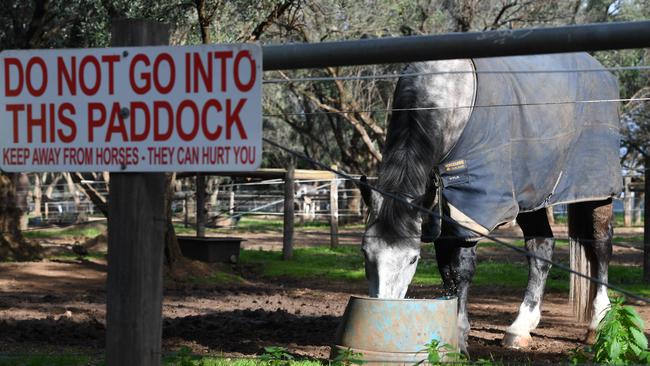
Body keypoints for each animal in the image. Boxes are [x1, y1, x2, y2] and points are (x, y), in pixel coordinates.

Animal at [360, 53, 616, 354]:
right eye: (365, 252)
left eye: (412, 259)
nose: (382, 308)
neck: (448, 95)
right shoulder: (442, 210)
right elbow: (446, 269)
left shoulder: (472, 208)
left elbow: (461, 269)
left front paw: (460, 338)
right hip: (533, 196)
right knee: (541, 248)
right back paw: (520, 328)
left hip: (597, 192)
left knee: (601, 246)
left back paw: (597, 324)